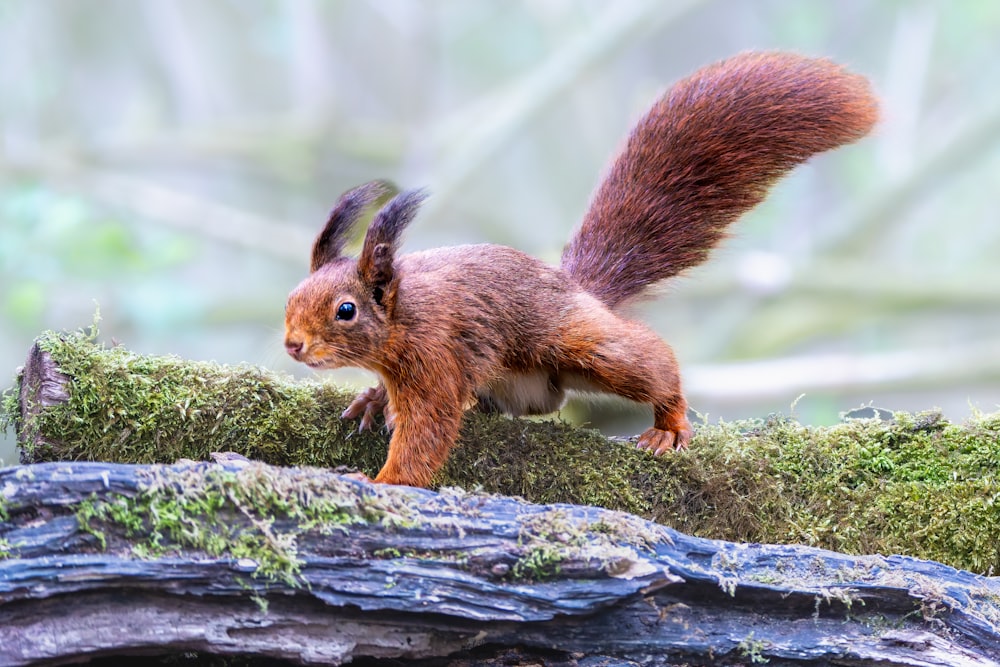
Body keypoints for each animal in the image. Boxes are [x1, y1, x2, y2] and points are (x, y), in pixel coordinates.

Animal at [282, 52, 876, 488]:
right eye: (291, 299)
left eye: (346, 310)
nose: (292, 344)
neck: (402, 314)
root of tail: (574, 286)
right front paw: (371, 397)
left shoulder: (435, 356)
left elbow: (427, 431)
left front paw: (384, 482)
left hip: (577, 344)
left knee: (649, 361)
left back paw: (669, 423)